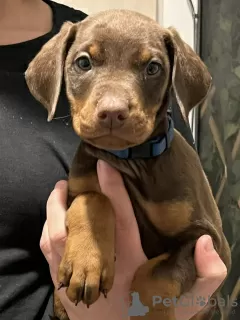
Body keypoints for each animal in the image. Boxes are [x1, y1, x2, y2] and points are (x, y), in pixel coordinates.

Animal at [24, 9, 231, 320]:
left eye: (153, 67)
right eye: (83, 62)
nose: (113, 112)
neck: (129, 160)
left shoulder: (210, 238)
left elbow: (155, 274)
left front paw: (152, 313)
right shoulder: (76, 189)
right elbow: (92, 198)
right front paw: (86, 263)